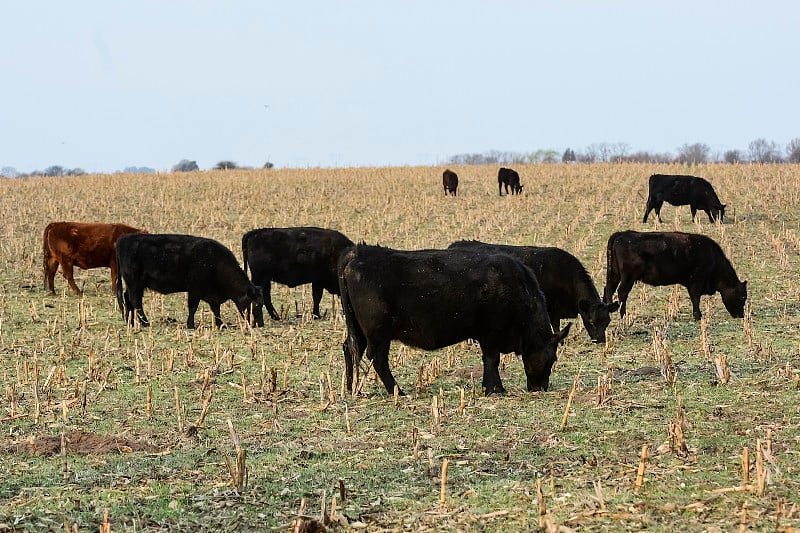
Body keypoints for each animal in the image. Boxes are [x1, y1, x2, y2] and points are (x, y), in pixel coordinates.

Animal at [115, 234, 260, 328]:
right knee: (136, 301)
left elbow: (215, 309)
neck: (214, 261)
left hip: (133, 285)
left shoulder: (212, 294)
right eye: (257, 304)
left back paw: (131, 322)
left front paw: (221, 324)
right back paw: (145, 323)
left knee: (128, 299)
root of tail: (122, 240)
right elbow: (193, 307)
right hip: (135, 284)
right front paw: (190, 325)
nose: (258, 324)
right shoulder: (195, 290)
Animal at [338, 245, 568, 394]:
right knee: (378, 359)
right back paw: (397, 391)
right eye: (552, 358)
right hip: (378, 333)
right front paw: (495, 389)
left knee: (350, 349)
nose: (540, 388)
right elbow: (491, 360)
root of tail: (359, 252)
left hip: (359, 329)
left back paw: (352, 389)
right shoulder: (491, 333)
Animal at [450, 240, 620, 340]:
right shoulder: (552, 307)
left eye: (607, 321)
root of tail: (457, 244)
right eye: (591, 321)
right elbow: (555, 325)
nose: (599, 340)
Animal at [604, 230, 748, 320]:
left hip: (615, 274)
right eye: (742, 297)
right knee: (622, 292)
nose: (741, 315)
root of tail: (622, 233)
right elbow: (695, 298)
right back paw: (623, 315)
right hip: (628, 277)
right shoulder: (696, 281)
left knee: (608, 289)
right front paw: (698, 316)